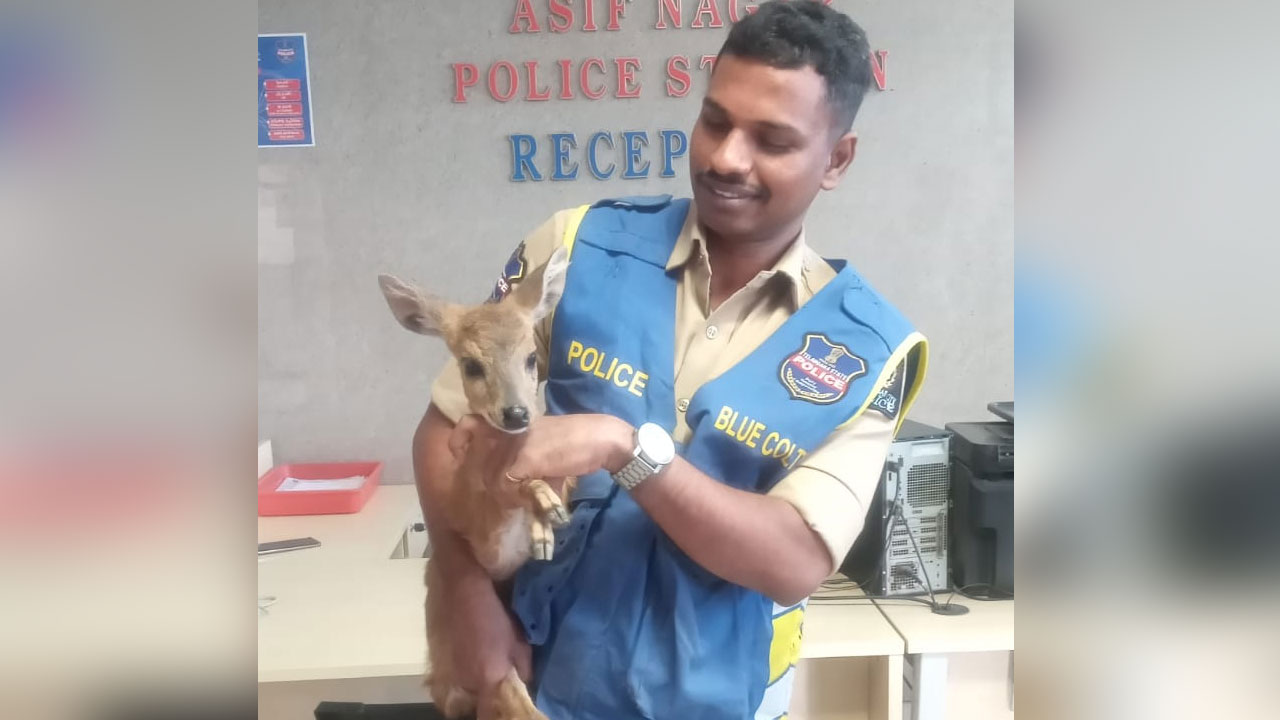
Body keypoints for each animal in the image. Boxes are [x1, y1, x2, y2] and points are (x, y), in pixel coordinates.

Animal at [377, 247, 573, 720]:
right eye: (470, 365)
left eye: (531, 358)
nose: (517, 413)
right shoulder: (488, 546)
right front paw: (540, 513)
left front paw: (547, 517)